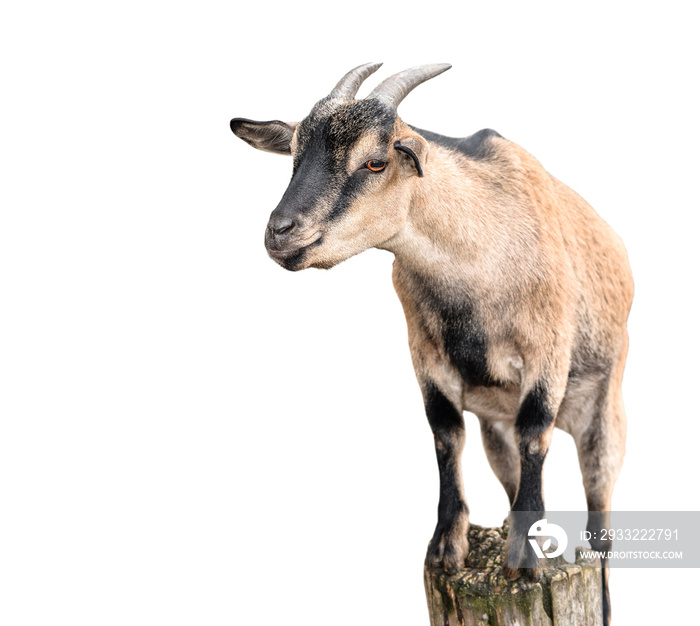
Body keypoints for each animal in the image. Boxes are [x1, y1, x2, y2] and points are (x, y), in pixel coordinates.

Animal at [231, 64, 636, 624]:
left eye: (376, 161)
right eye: (293, 153)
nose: (280, 233)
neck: (477, 258)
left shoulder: (548, 347)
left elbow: (536, 433)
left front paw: (523, 560)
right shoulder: (425, 353)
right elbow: (445, 434)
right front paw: (446, 548)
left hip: (604, 413)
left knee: (600, 512)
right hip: (495, 429)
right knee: (508, 471)